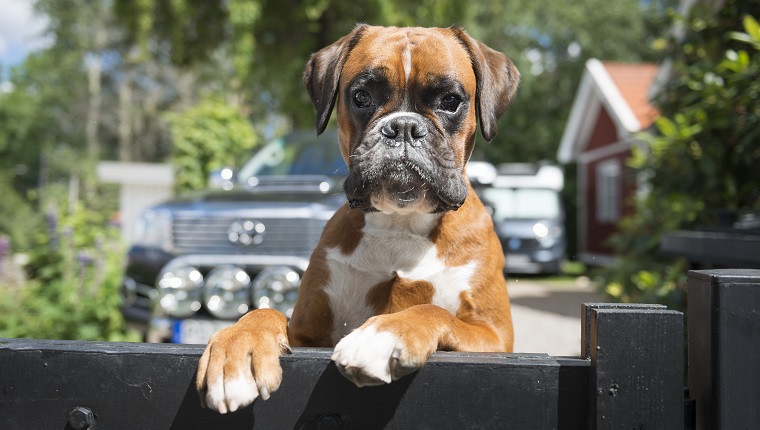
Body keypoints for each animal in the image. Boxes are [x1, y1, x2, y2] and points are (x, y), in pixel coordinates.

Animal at [196, 24, 516, 414]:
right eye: (361, 97)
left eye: (451, 101)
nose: (404, 127)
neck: (400, 223)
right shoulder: (307, 334)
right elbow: (265, 313)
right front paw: (237, 348)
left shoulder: (494, 335)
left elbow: (433, 311)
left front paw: (383, 334)